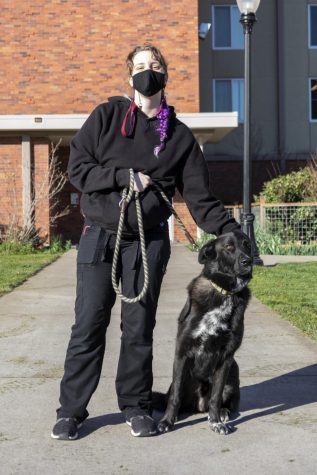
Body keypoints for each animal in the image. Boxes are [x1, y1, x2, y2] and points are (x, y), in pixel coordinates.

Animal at [156, 232, 252, 436]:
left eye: (247, 245)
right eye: (229, 247)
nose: (248, 261)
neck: (224, 293)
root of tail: (199, 406)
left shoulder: (226, 357)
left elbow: (216, 396)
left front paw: (216, 422)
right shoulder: (182, 352)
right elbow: (175, 396)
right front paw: (167, 421)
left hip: (233, 373)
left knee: (223, 402)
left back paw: (222, 413)